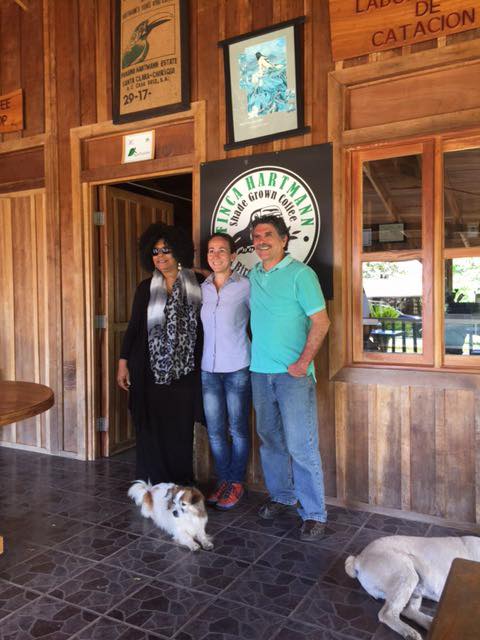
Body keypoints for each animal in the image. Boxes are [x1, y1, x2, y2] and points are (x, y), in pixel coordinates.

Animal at [344, 536, 480, 640]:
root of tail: (358, 558)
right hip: (407, 575)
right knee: (387, 613)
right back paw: (410, 633)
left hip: (414, 585)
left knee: (407, 610)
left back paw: (429, 623)